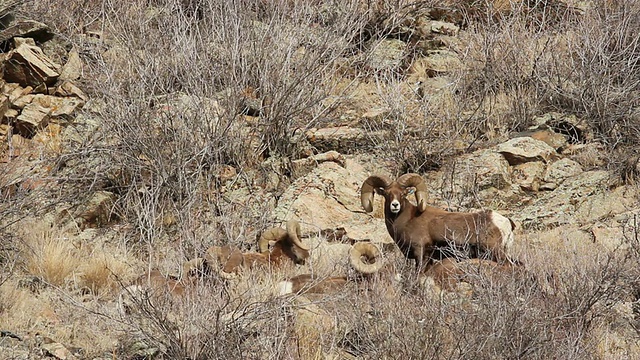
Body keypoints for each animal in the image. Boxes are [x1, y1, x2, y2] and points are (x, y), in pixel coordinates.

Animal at [360, 173, 516, 272]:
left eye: (403, 193)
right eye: (387, 194)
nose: (395, 205)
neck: (408, 220)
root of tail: (504, 222)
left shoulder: (420, 253)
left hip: (495, 252)